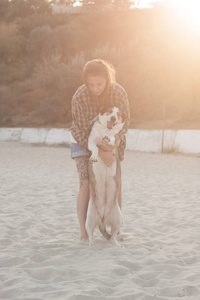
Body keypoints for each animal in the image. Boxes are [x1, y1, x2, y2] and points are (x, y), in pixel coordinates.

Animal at [86, 106, 125, 246]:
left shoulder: (115, 138)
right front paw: (95, 156)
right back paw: (90, 245)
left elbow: (112, 138)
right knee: (91, 235)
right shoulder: (91, 140)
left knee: (113, 236)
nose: (113, 118)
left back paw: (117, 245)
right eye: (109, 111)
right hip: (88, 220)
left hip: (119, 219)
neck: (105, 130)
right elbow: (95, 147)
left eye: (118, 114)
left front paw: (108, 138)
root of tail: (102, 218)